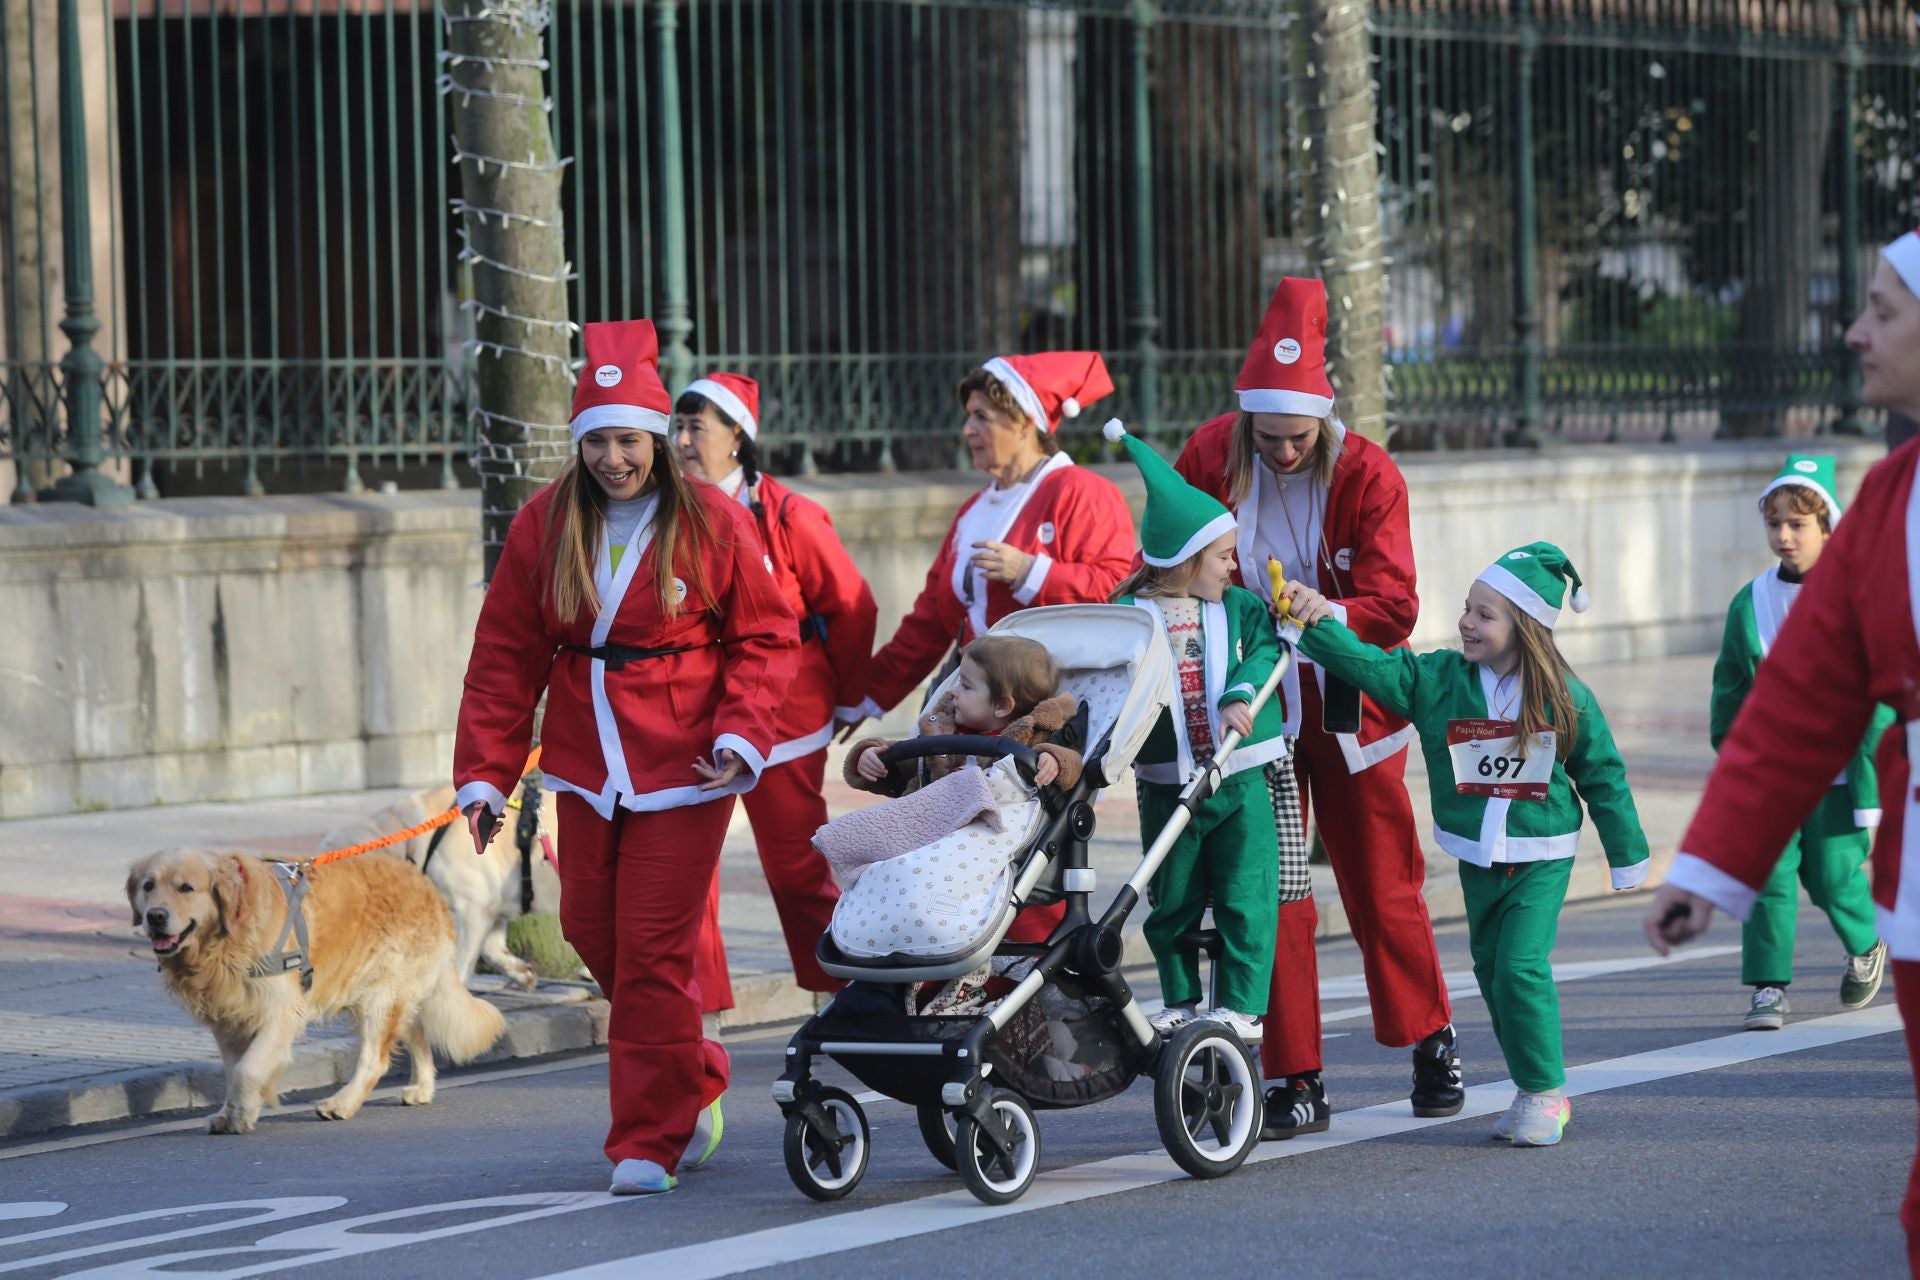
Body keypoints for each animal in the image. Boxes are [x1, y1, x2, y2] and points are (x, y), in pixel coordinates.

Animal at [123, 852, 506, 1128]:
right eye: (148, 886)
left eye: (186, 888)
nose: (155, 917)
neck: (224, 941)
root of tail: (426, 884)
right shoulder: (229, 1020)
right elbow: (235, 1070)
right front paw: (233, 1111)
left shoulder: (280, 1012)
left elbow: (248, 1069)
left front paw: (242, 1115)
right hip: (392, 991)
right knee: (416, 1033)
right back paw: (422, 1088)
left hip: (380, 996)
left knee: (376, 1059)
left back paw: (342, 1104)